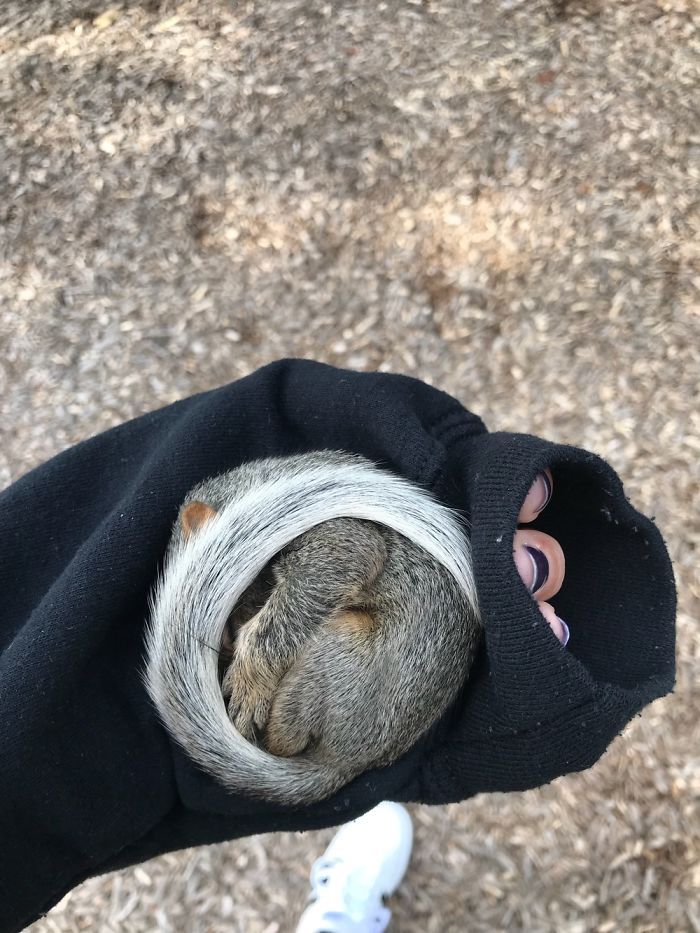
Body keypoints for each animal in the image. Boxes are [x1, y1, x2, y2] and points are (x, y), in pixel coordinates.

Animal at [145, 451, 482, 807]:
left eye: (227, 633)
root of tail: (346, 761)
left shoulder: (340, 539)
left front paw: (248, 682)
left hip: (342, 656)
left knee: (285, 740)